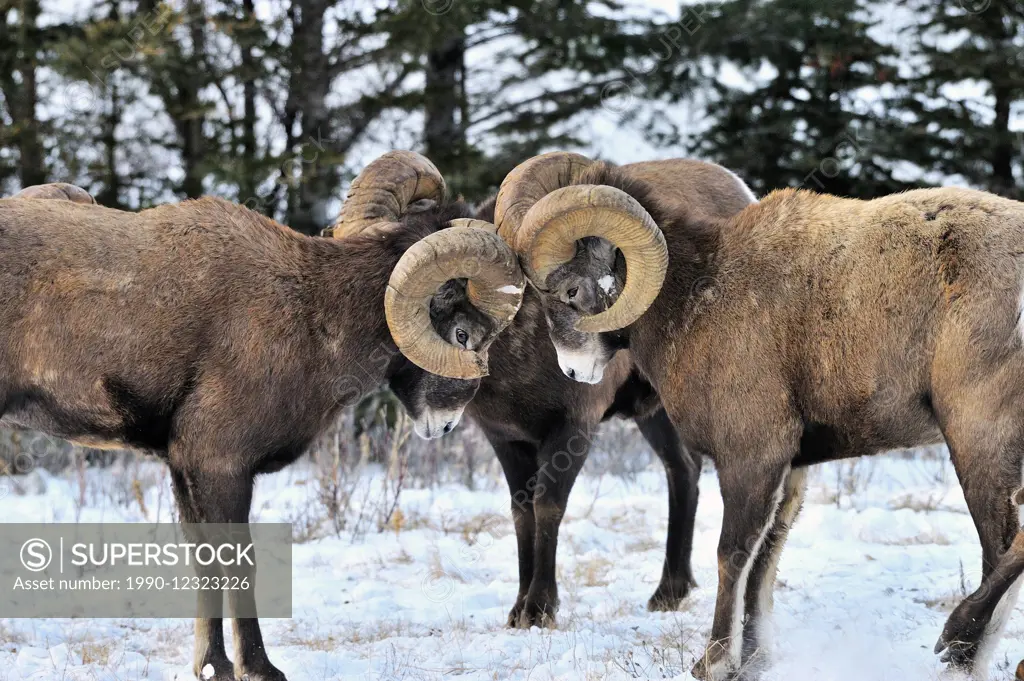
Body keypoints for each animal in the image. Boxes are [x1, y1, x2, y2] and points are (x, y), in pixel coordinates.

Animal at [0, 175, 524, 679]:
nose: (445, 424)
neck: (314, 312)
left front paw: (213, 666)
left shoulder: (186, 469)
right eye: (464, 334)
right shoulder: (221, 465)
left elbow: (205, 564)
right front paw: (260, 668)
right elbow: (236, 565)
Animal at [331, 151, 757, 622]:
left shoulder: (572, 430)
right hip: (654, 414)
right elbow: (522, 514)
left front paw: (539, 610)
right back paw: (669, 593)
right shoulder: (507, 440)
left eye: (458, 332)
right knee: (682, 470)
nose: (433, 425)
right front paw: (518, 610)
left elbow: (547, 507)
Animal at [491, 151, 1024, 675]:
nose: (574, 372)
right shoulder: (789, 471)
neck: (695, 297)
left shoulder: (751, 458)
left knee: (1002, 547)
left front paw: (713, 662)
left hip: (977, 440)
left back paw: (957, 646)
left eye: (571, 292)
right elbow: (764, 562)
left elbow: (734, 555)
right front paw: (753, 659)